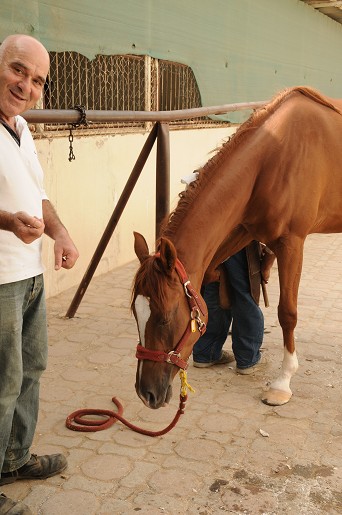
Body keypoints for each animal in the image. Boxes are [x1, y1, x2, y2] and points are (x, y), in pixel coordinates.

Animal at [130, 87, 342, 412]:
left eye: (165, 317)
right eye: (135, 313)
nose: (146, 393)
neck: (276, 157)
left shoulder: (292, 243)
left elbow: (287, 313)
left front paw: (282, 383)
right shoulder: (242, 230)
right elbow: (211, 285)